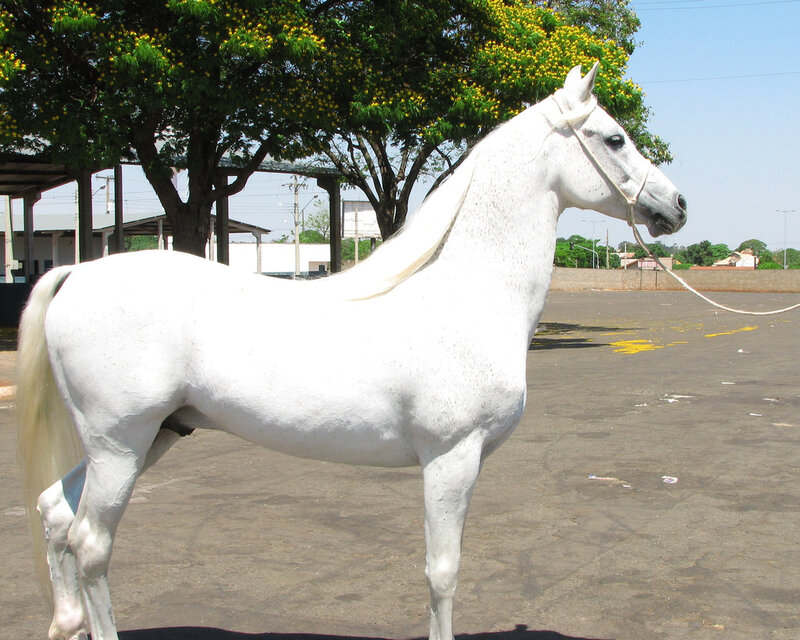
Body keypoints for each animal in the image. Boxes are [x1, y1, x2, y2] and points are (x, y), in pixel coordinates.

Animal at [17, 63, 686, 640]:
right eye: (615, 138)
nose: (676, 206)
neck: (466, 290)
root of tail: (76, 274)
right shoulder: (450, 459)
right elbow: (443, 574)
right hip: (120, 444)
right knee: (90, 544)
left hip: (150, 437)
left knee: (57, 513)